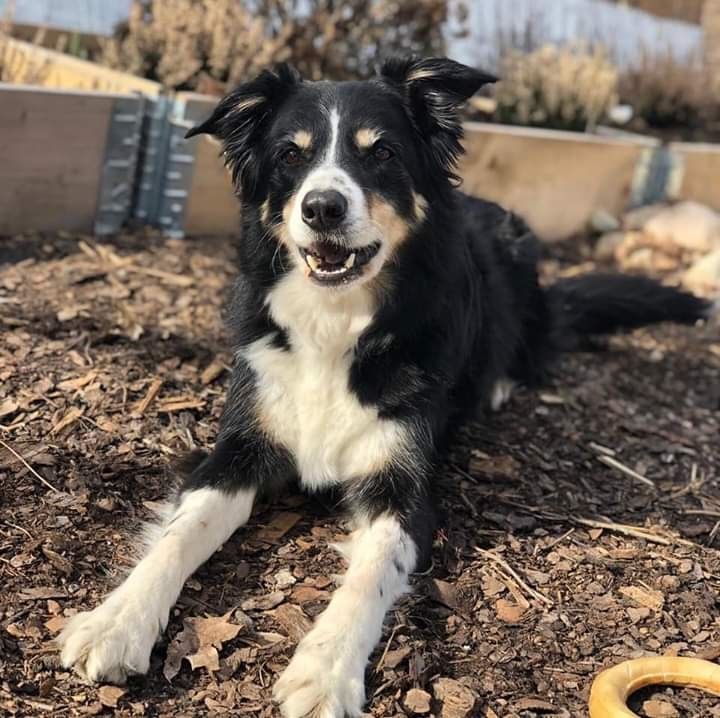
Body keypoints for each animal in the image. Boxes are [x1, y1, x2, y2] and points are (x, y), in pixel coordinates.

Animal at [57, 57, 716, 718]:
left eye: (382, 153)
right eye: (290, 156)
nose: (322, 207)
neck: (337, 321)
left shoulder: (403, 486)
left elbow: (367, 576)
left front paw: (324, 675)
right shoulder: (239, 447)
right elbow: (178, 535)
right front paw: (116, 622)